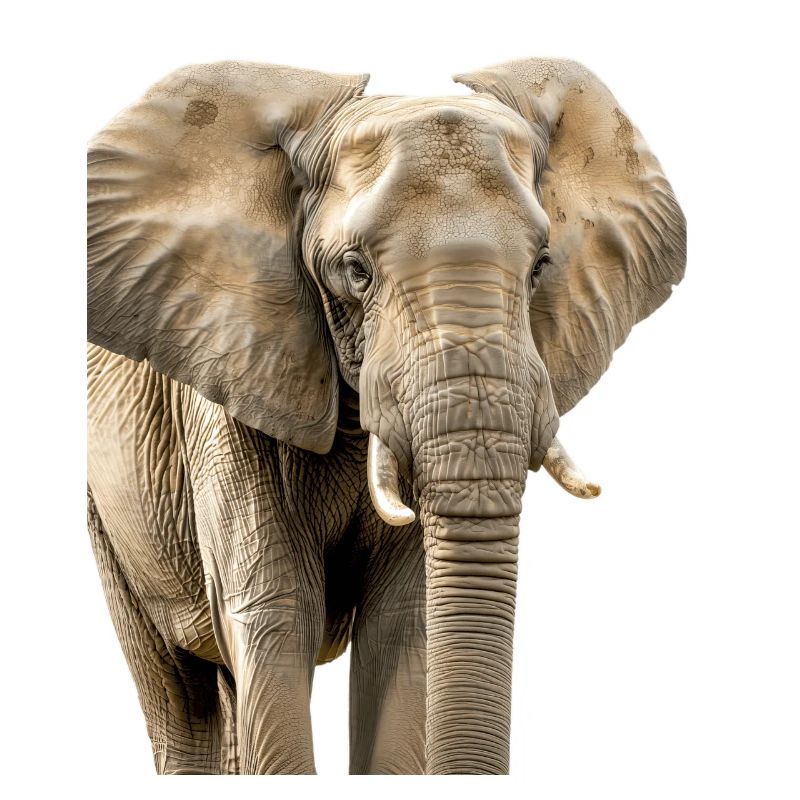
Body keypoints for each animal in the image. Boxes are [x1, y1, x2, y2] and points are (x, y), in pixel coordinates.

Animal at [86, 58, 686, 775]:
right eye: (356, 271)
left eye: (541, 266)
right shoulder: (226, 386)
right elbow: (274, 614)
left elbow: (401, 627)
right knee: (183, 699)